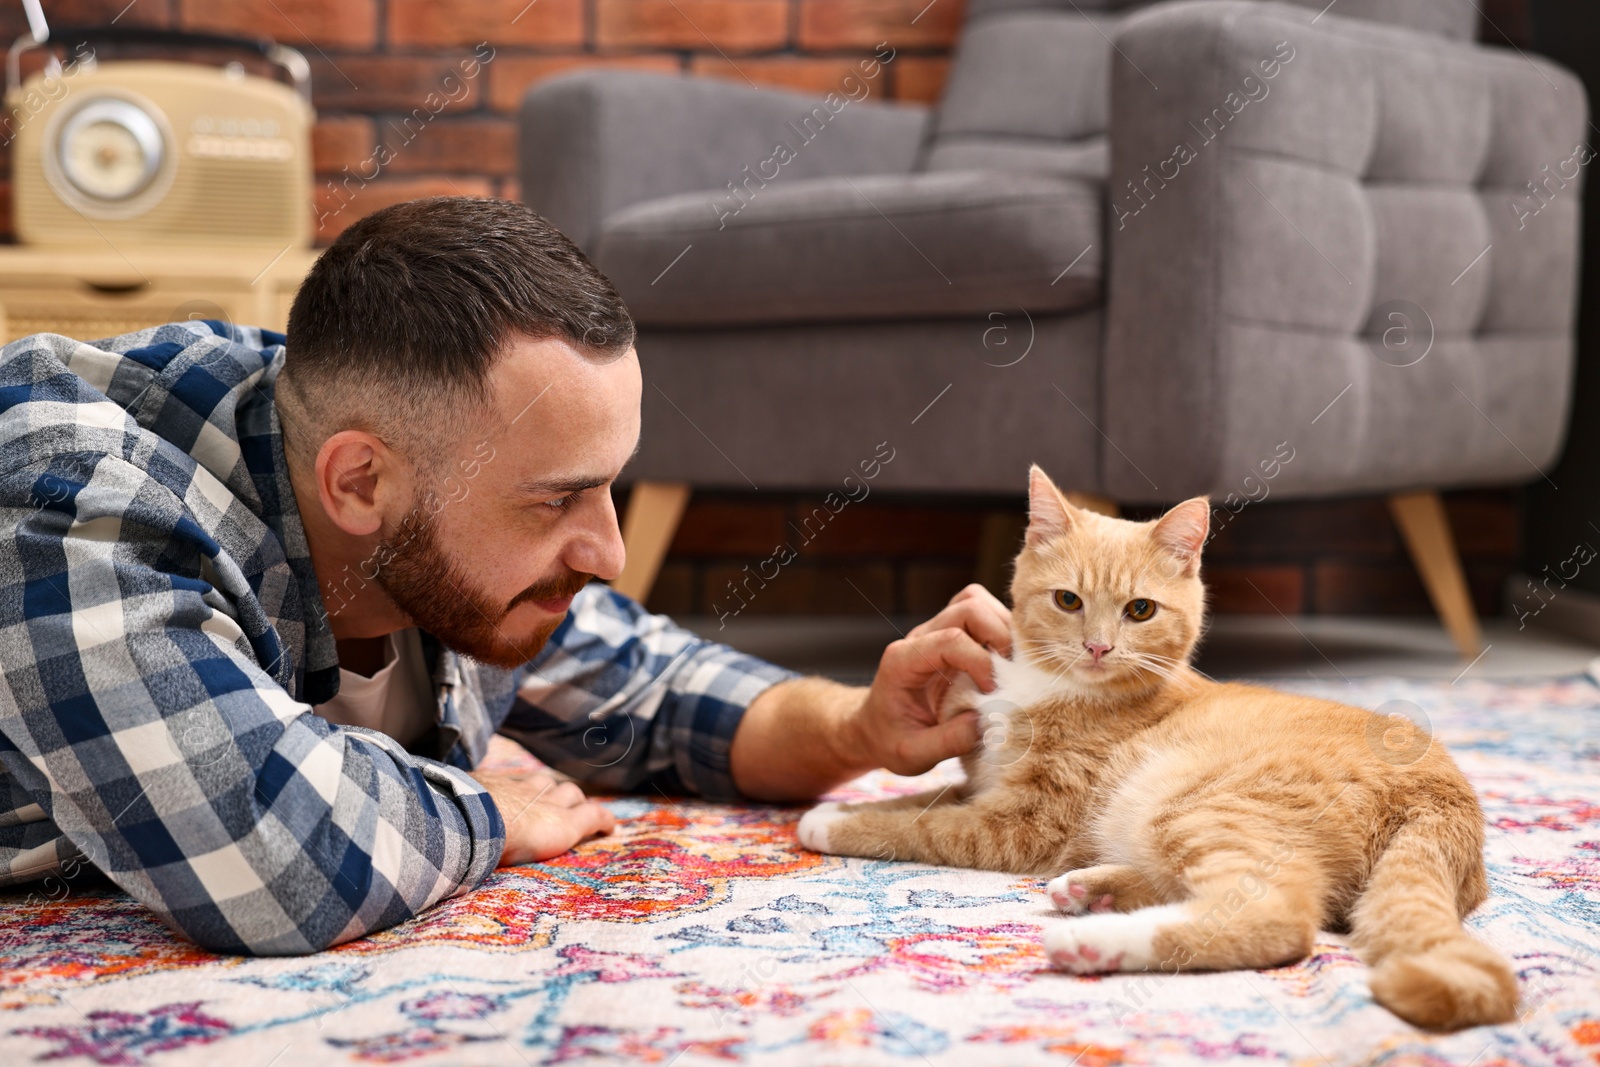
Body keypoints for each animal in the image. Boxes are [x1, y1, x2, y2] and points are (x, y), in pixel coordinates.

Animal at [796, 463, 1510, 1023]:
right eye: (1067, 600)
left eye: (1140, 610)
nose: (1098, 647)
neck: (1054, 685)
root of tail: (1448, 794)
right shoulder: (984, 783)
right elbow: (927, 797)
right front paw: (854, 803)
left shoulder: (1023, 824)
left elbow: (927, 825)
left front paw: (831, 821)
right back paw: (1095, 892)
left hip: (1197, 801)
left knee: (1275, 917)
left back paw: (1096, 941)